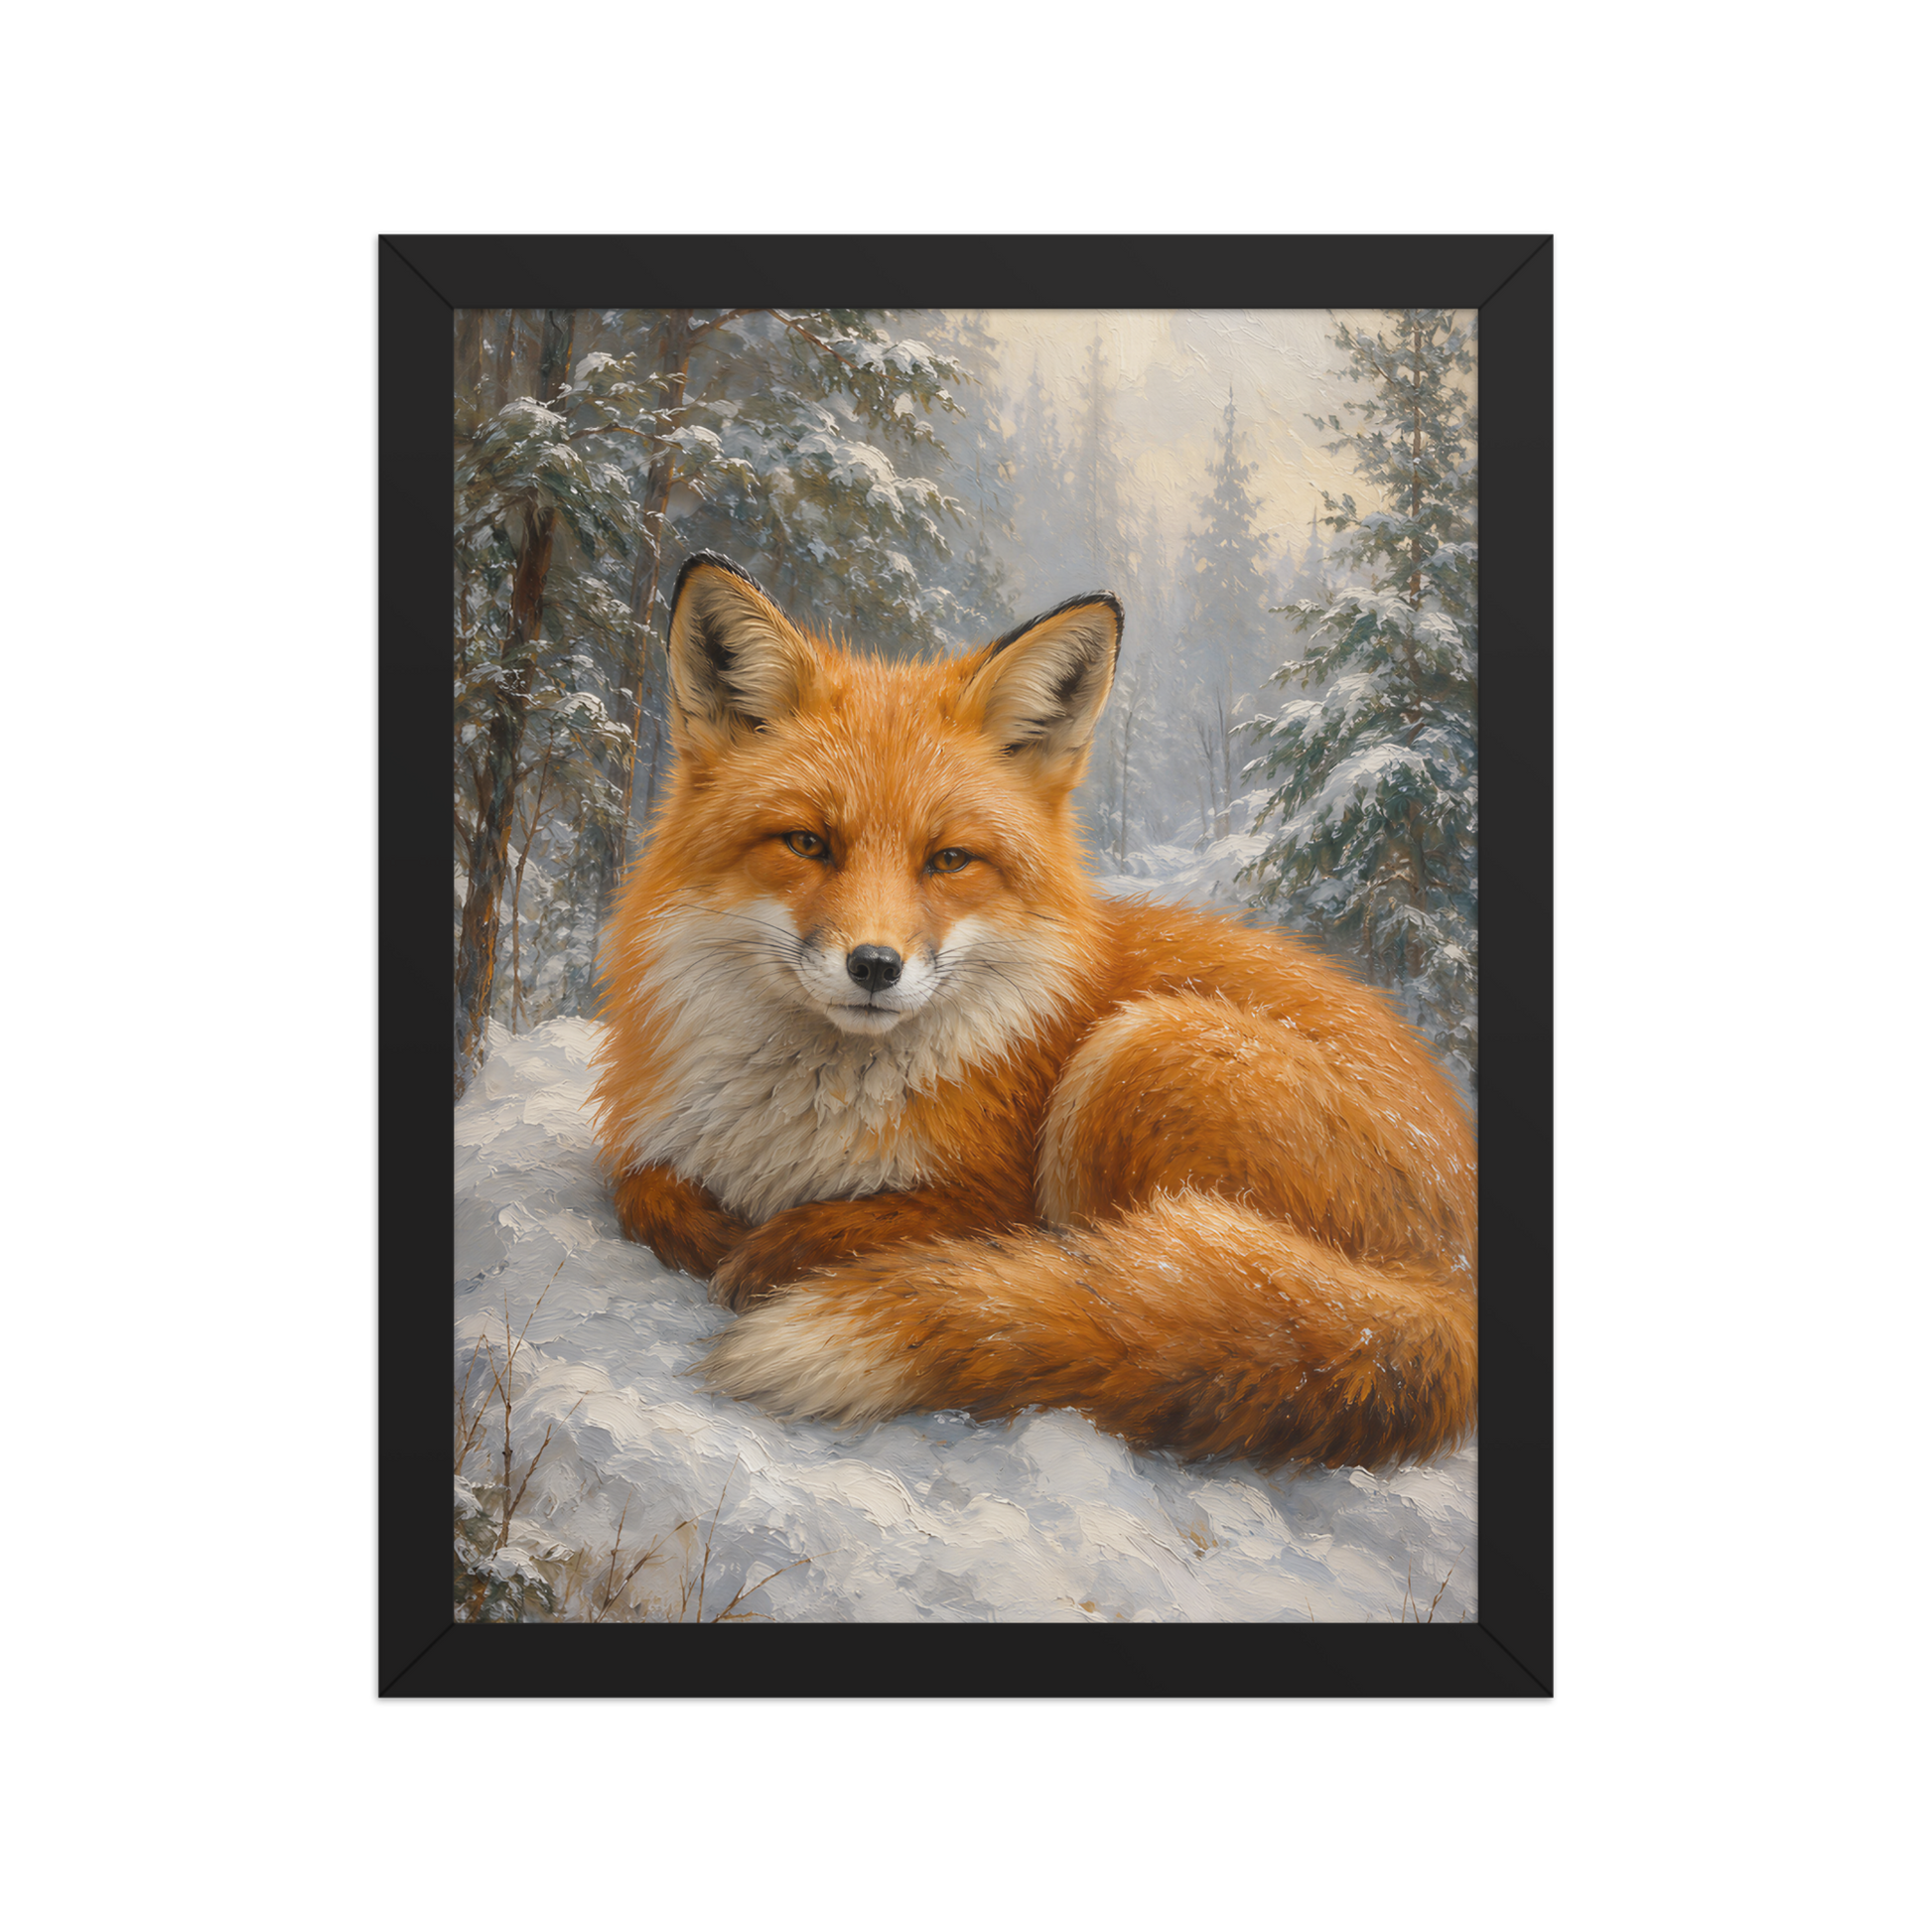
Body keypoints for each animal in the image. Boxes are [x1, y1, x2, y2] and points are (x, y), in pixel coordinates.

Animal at [588, 552, 1476, 1475]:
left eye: (948, 860)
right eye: (807, 844)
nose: (875, 966)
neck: (799, 1121)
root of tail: (1453, 1283)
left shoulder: (992, 1194)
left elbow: (876, 1224)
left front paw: (774, 1251)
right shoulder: (656, 1140)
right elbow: (640, 1188)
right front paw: (708, 1229)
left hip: (1140, 1052)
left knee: (1123, 1286)